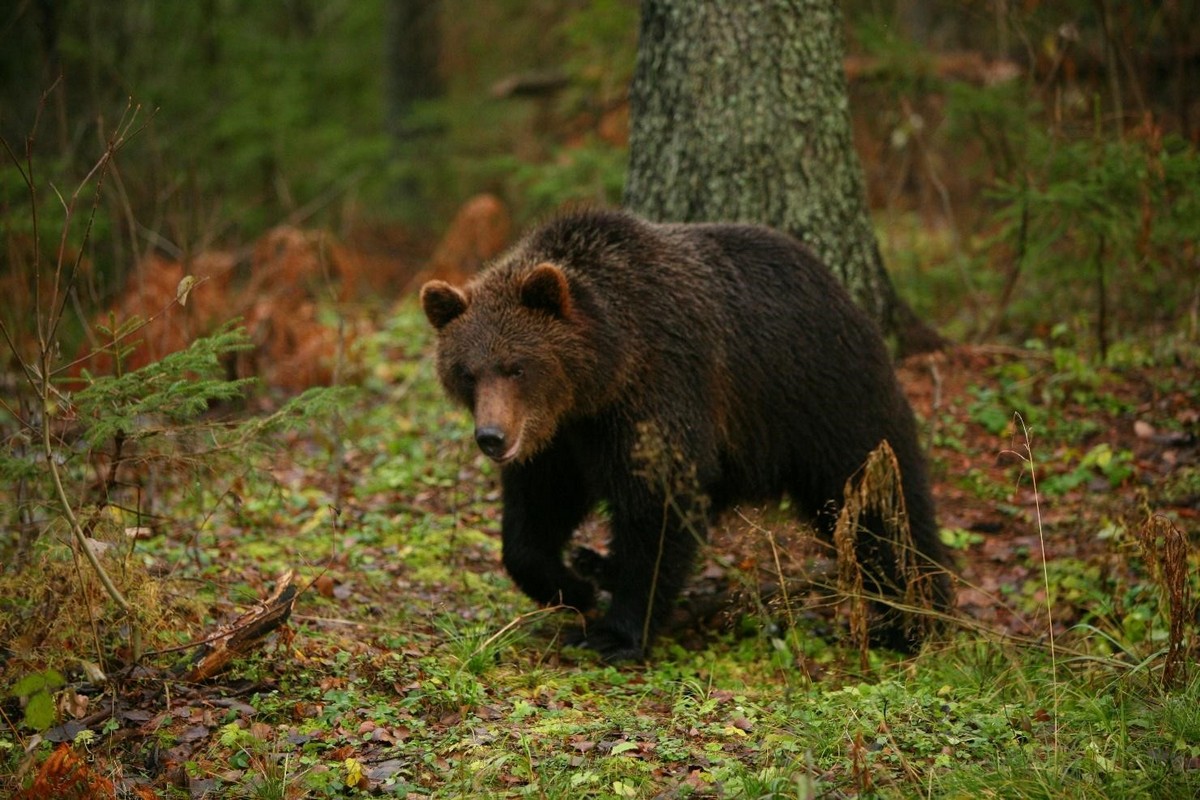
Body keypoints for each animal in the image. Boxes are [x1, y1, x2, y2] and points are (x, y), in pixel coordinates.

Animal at [422, 208, 945, 662]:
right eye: (467, 372)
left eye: (516, 366)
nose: (491, 437)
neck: (603, 375)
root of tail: (844, 294)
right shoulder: (563, 438)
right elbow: (537, 513)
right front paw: (571, 585)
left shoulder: (659, 389)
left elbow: (659, 502)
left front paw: (615, 632)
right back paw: (596, 564)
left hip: (823, 400)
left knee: (880, 510)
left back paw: (915, 619)